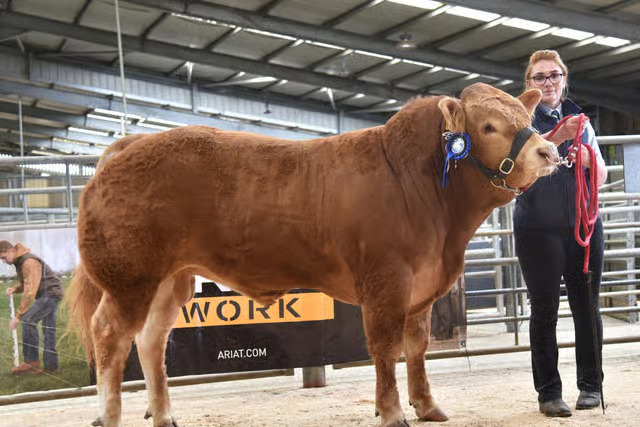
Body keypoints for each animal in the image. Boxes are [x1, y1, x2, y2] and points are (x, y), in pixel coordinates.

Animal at [67, 82, 559, 427]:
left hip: (171, 280)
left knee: (151, 340)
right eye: (489, 126)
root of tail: (129, 144)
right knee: (109, 334)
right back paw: (109, 415)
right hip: (130, 278)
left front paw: (427, 405)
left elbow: (416, 346)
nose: (549, 149)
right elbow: (385, 348)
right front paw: (392, 412)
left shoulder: (421, 288)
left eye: (526, 117)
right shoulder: (385, 282)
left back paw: (165, 413)